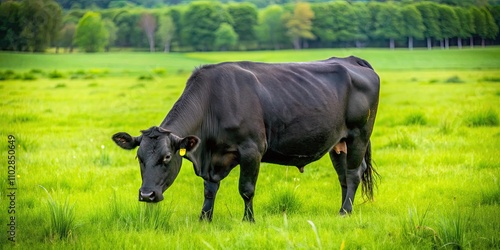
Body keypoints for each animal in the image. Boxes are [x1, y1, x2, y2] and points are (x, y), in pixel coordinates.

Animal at [112, 55, 378, 222]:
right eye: (139, 157)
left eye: (167, 157)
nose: (147, 195)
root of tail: (350, 59)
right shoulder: (212, 160)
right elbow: (209, 191)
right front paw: (204, 218)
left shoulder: (252, 149)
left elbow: (246, 189)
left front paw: (248, 220)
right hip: (338, 143)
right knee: (343, 177)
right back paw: (343, 208)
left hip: (359, 135)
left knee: (354, 173)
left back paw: (345, 211)